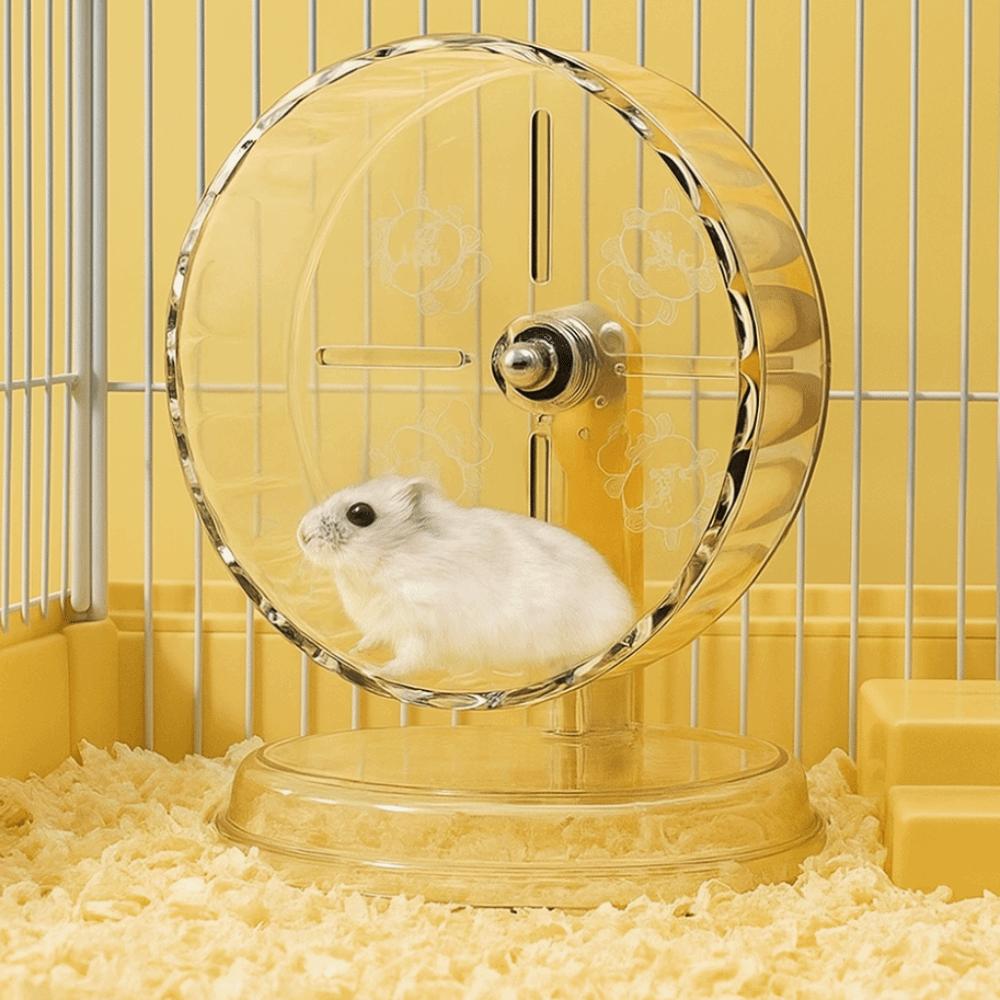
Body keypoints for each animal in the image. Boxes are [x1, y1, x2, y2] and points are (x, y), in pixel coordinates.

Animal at [297, 475, 636, 680]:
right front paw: (357, 651)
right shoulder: (385, 623)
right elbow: (373, 637)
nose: (302, 535)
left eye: (360, 513)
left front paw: (380, 671)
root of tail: (629, 619)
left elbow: (409, 659)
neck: (390, 560)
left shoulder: (421, 628)